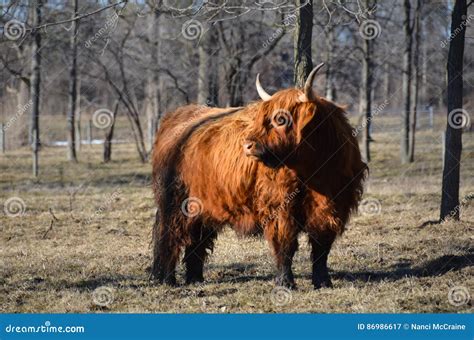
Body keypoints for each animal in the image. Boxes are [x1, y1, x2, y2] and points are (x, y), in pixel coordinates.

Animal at [150, 62, 364, 288]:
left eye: (281, 119)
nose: (247, 145)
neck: (314, 169)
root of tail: (179, 114)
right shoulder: (279, 206)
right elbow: (285, 244)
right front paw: (285, 282)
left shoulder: (333, 205)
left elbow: (321, 246)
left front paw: (323, 282)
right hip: (176, 202)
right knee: (170, 236)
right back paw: (166, 279)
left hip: (203, 204)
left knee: (197, 238)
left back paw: (195, 278)